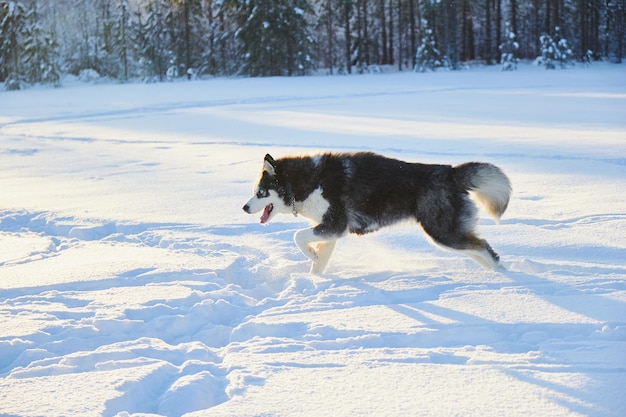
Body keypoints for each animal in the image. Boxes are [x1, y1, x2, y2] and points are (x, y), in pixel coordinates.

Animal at [241, 152, 510, 272]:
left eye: (260, 192)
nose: (244, 207)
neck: (306, 183)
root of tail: (451, 172)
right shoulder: (331, 230)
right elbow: (319, 260)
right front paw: (315, 278)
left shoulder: (335, 224)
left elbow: (297, 236)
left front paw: (311, 254)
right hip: (449, 234)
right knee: (479, 250)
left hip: (441, 232)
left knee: (484, 247)